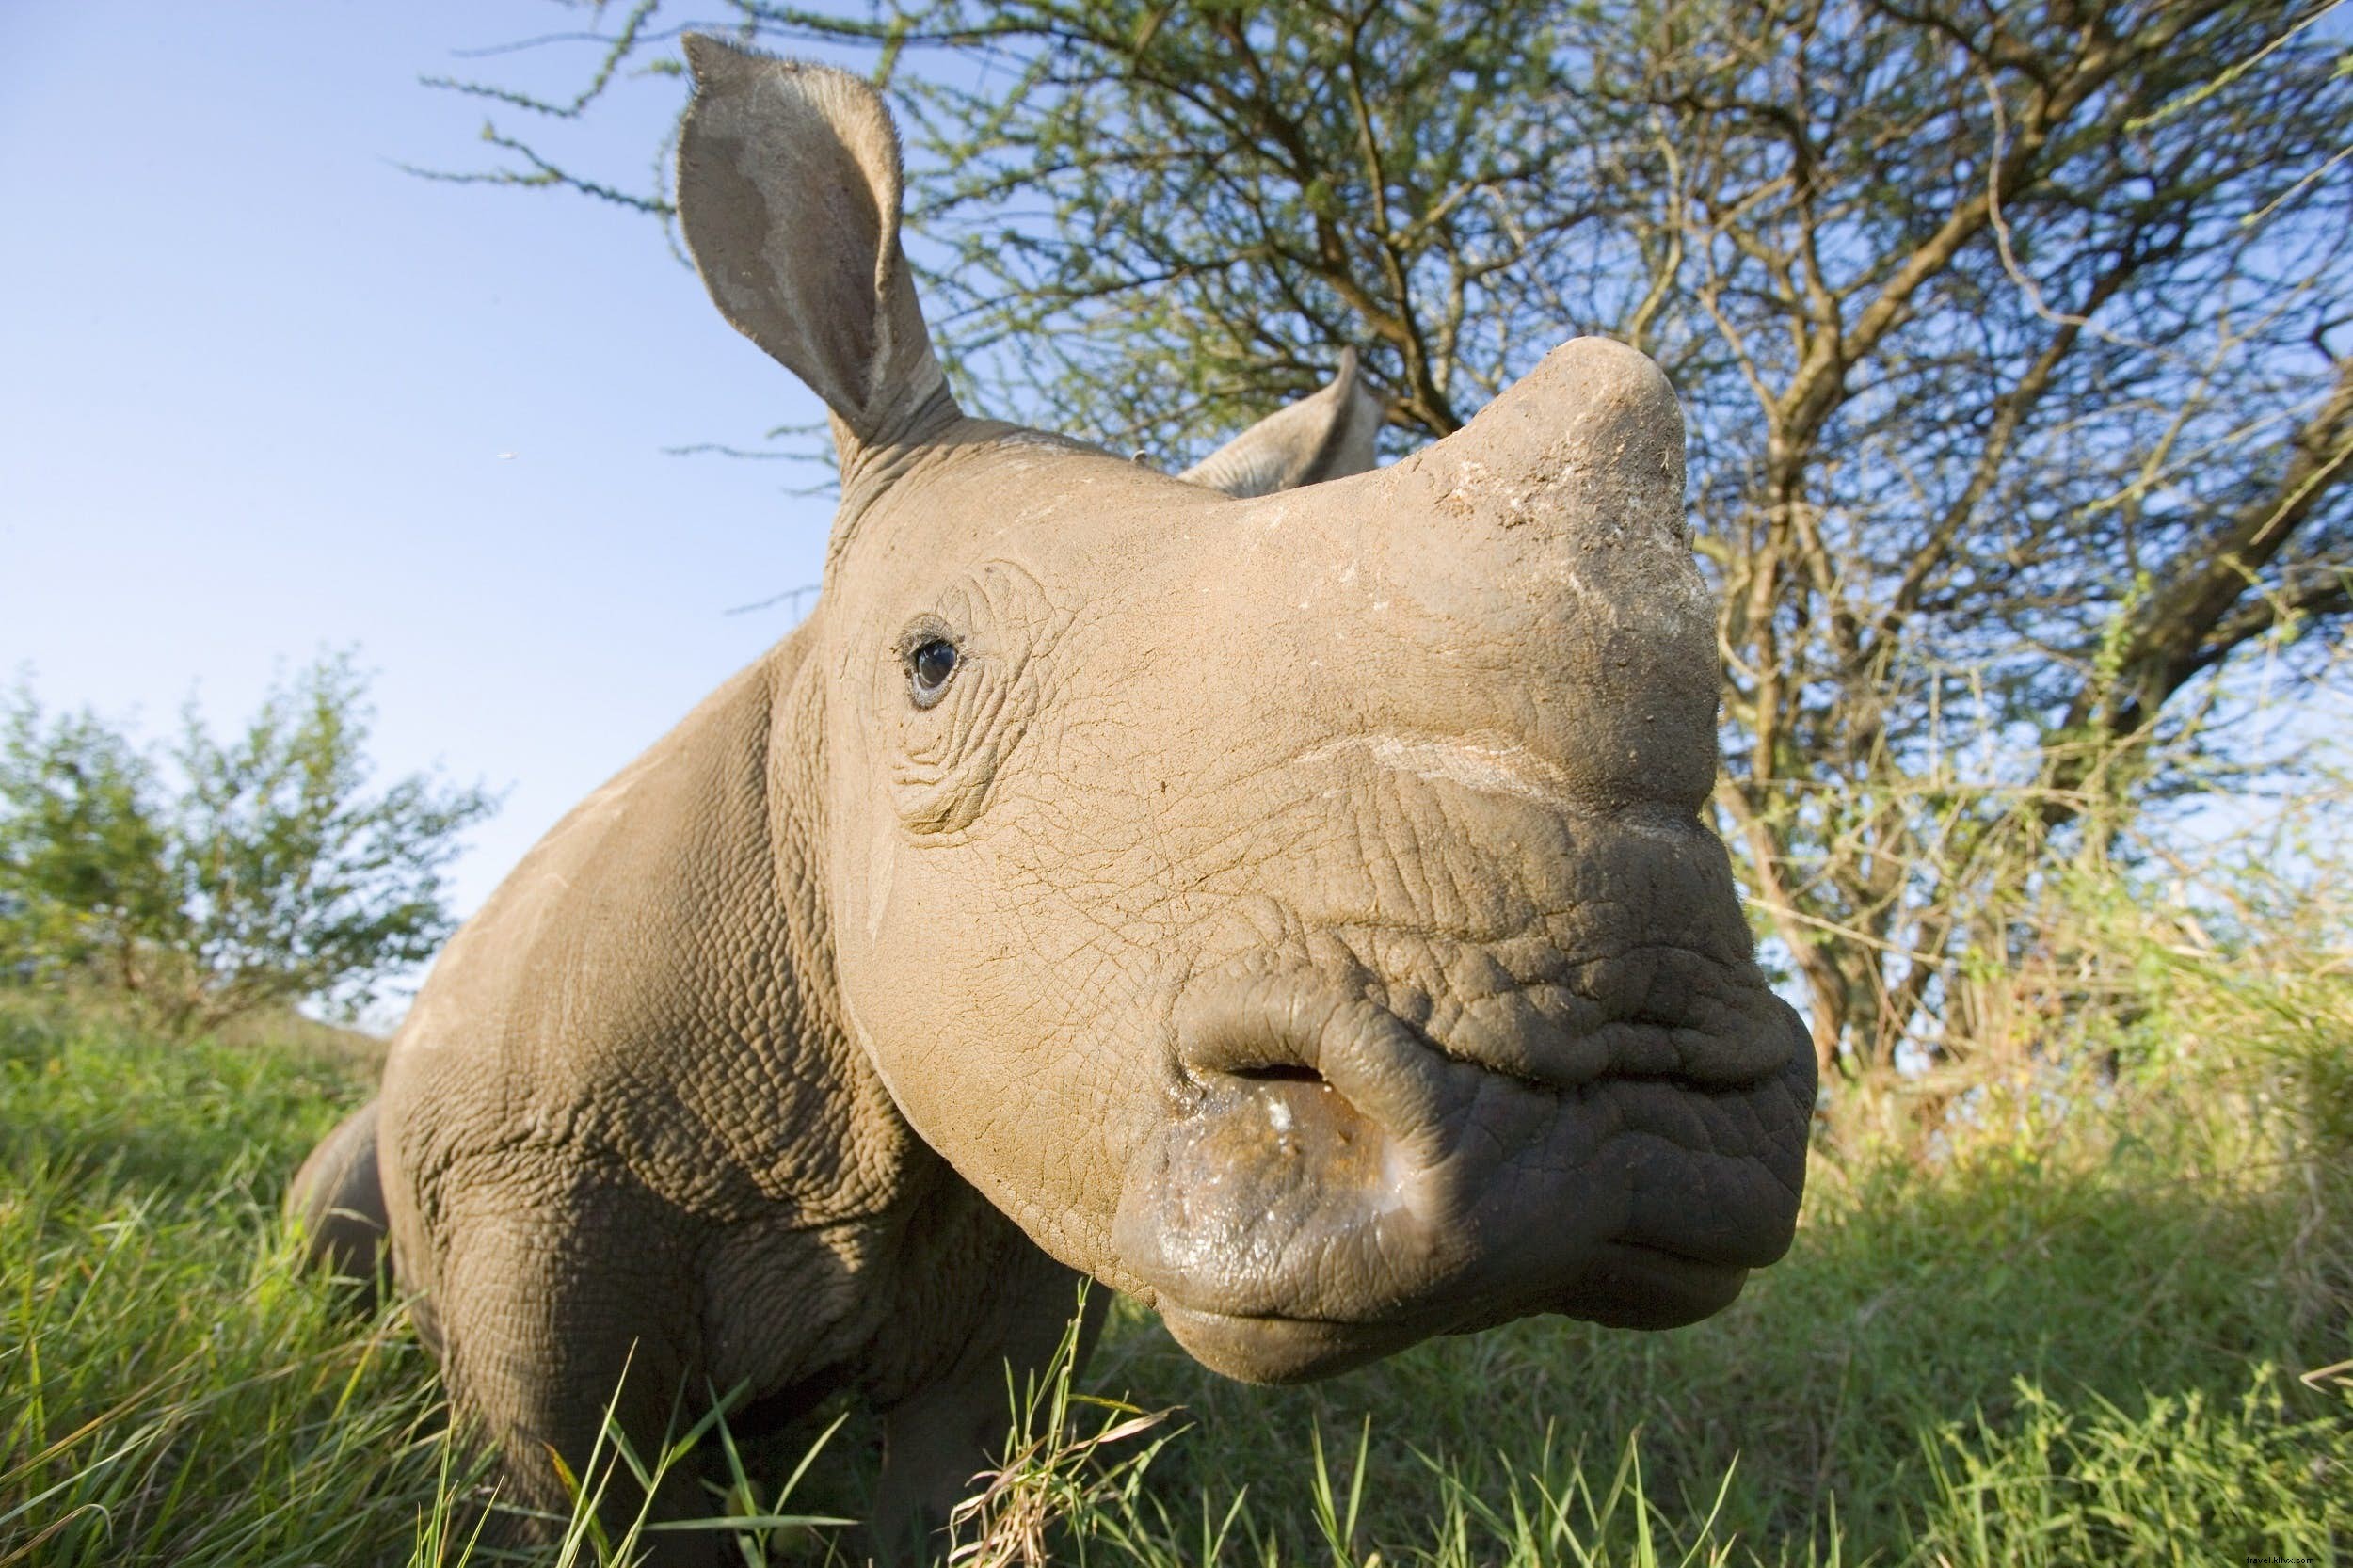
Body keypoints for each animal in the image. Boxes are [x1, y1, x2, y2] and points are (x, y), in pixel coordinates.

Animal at [287, 35, 1813, 1562]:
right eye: (930, 664)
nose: (1618, 1101)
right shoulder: (527, 1178)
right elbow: (579, 1484)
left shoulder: (1028, 1178)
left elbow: (944, 1479)